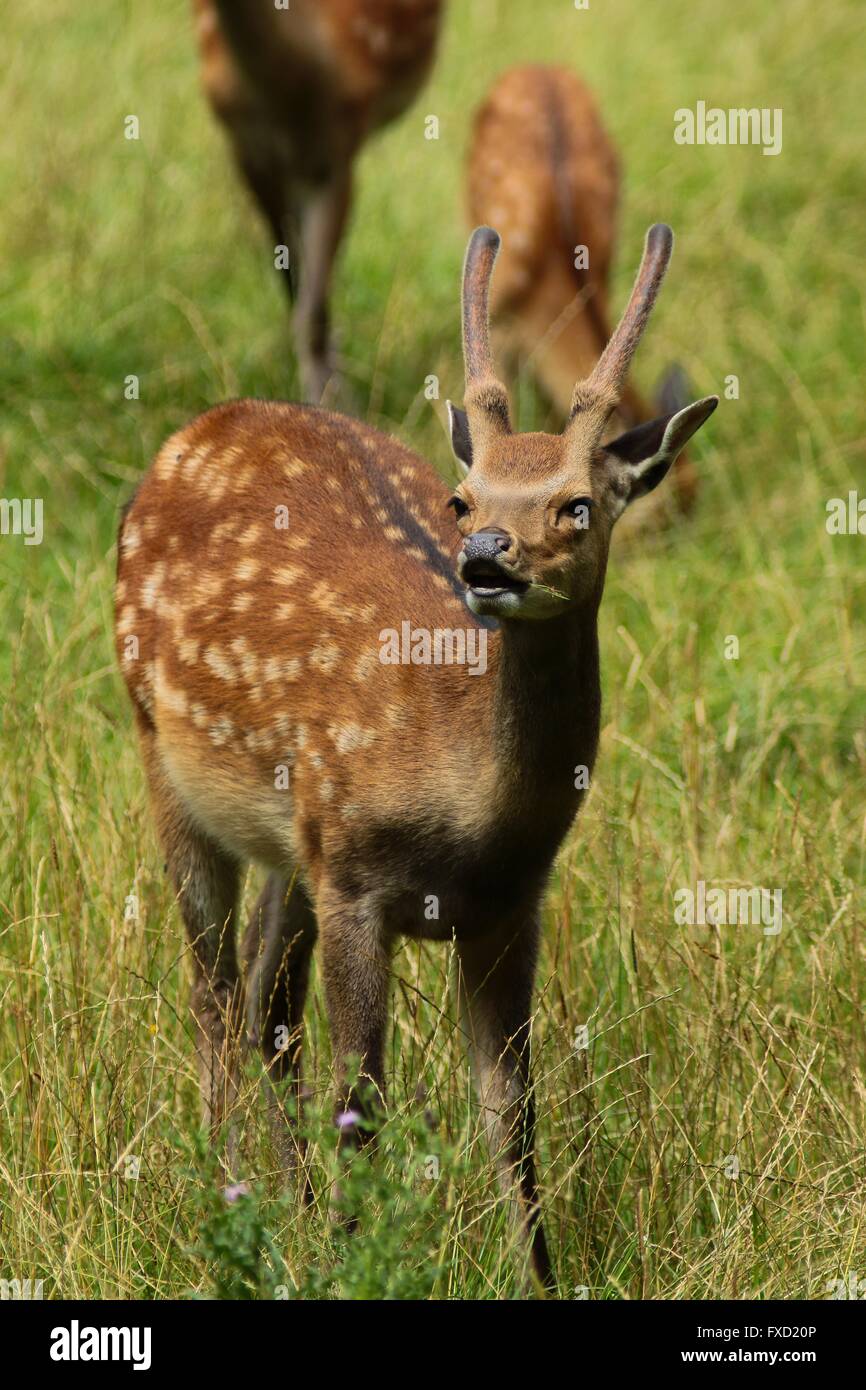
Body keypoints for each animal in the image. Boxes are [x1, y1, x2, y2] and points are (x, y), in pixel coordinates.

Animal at [114, 221, 717, 1291]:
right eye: (463, 497)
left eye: (576, 504)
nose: (483, 557)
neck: (470, 817)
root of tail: (196, 430)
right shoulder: (359, 884)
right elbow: (364, 1103)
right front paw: (360, 1261)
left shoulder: (510, 907)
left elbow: (513, 1115)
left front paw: (535, 1276)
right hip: (167, 761)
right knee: (214, 994)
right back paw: (229, 1205)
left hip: (295, 839)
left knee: (266, 999)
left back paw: (290, 1208)